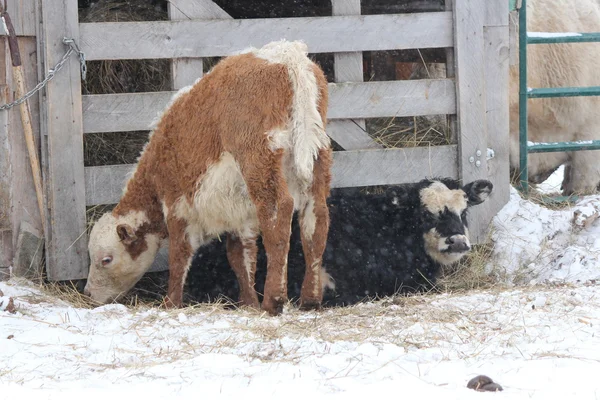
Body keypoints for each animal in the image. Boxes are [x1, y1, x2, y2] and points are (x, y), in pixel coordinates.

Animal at [84, 40, 332, 316]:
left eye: (105, 259)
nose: (87, 293)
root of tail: (287, 54)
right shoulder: (240, 212)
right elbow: (241, 256)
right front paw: (249, 303)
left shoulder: (177, 204)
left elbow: (179, 254)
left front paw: (171, 303)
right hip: (317, 156)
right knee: (316, 218)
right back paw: (310, 299)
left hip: (259, 158)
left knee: (278, 212)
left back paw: (274, 300)